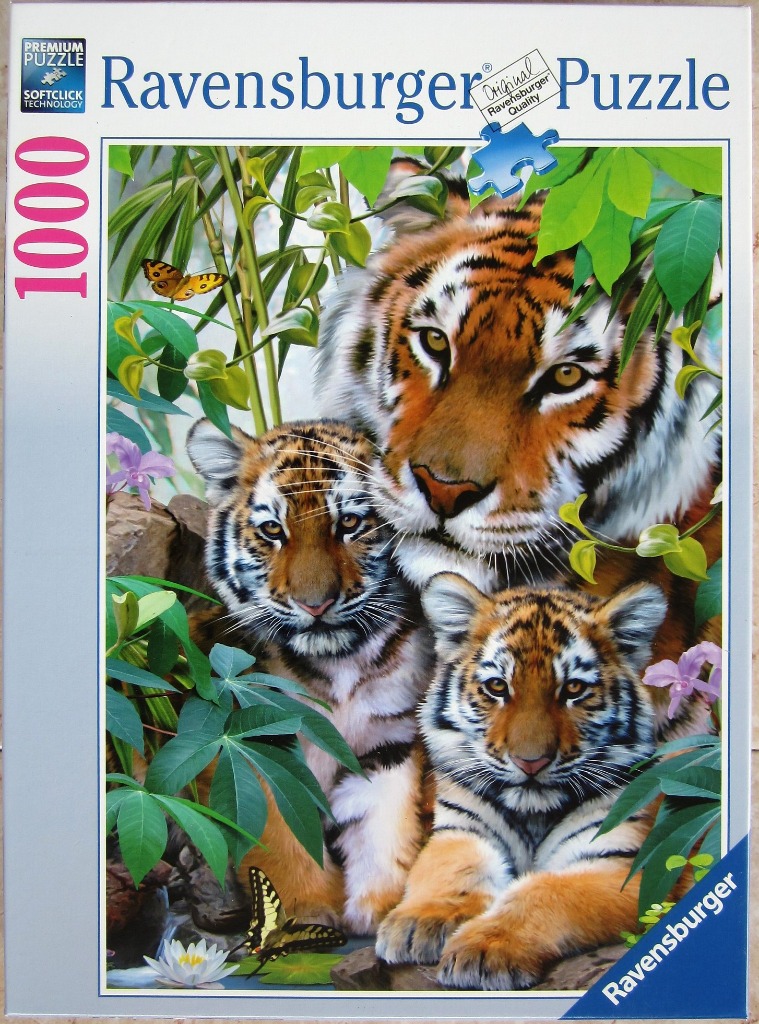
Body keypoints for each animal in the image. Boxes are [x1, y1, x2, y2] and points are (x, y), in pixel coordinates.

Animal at [187, 418, 435, 935]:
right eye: (272, 530)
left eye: (350, 524)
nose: (315, 605)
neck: (339, 664)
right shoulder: (260, 744)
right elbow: (281, 834)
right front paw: (303, 913)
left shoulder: (388, 742)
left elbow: (383, 825)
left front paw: (379, 907)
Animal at [376, 571, 669, 990]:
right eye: (498, 687)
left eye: (573, 689)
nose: (531, 762)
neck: (533, 813)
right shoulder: (461, 830)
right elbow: (452, 868)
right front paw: (418, 922)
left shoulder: (623, 865)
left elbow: (546, 892)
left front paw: (484, 949)